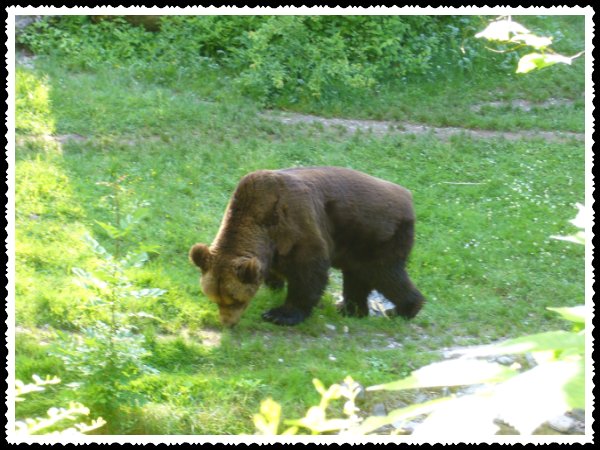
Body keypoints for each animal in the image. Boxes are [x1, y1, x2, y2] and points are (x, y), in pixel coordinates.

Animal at [189, 166, 425, 327]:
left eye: (235, 299)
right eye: (215, 299)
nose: (227, 323)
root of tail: (408, 196)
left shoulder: (297, 226)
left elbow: (308, 274)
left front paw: (279, 314)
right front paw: (274, 284)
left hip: (377, 234)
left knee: (383, 273)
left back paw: (403, 309)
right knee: (357, 275)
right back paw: (350, 308)